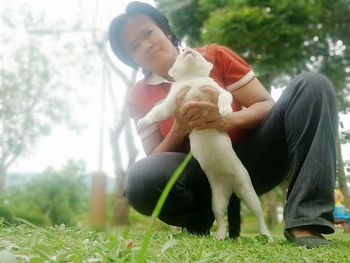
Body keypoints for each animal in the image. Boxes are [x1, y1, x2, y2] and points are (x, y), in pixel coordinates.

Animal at [138, 48, 272, 241]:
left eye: (196, 52)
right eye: (180, 55)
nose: (187, 49)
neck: (193, 80)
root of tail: (231, 188)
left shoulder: (217, 91)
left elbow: (224, 97)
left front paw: (225, 111)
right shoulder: (172, 102)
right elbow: (157, 112)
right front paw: (143, 122)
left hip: (248, 191)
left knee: (259, 216)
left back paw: (267, 235)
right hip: (217, 200)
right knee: (221, 219)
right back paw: (220, 236)